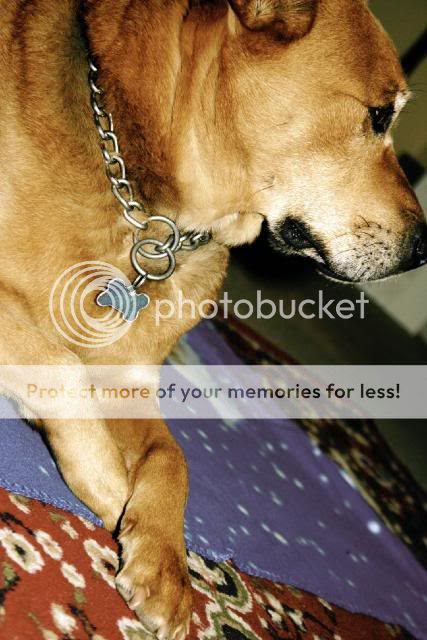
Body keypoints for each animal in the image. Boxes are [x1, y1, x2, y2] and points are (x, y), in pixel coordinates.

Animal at [0, 0, 425, 638]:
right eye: (378, 116)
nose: (424, 251)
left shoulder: (128, 382)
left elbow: (173, 458)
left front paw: (166, 557)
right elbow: (59, 365)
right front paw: (108, 484)